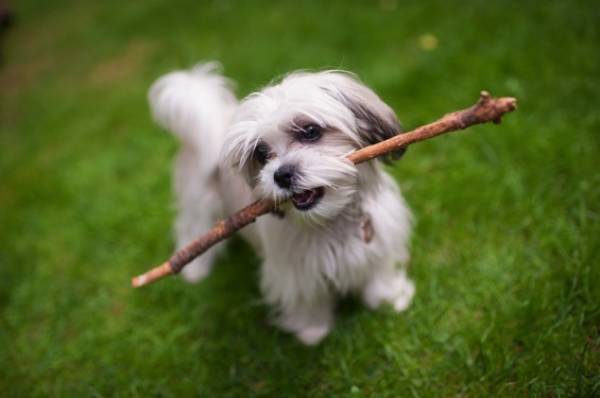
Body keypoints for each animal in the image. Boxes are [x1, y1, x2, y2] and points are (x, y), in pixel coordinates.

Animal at [148, 63, 414, 346]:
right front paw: (312, 331)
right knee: (192, 228)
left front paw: (389, 299)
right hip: (198, 202)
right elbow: (307, 299)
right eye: (261, 153)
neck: (330, 222)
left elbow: (378, 274)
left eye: (310, 131)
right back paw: (195, 270)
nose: (282, 175)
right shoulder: (294, 271)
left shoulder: (379, 240)